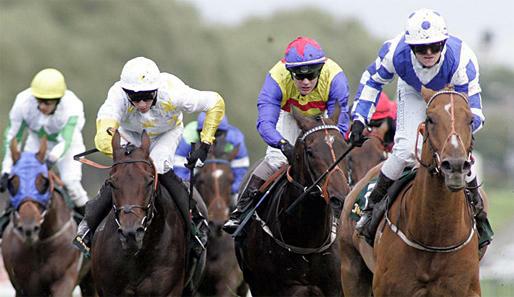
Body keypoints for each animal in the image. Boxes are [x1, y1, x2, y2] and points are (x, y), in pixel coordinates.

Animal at [1, 139, 95, 296]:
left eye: (44, 182)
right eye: (12, 183)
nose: (29, 227)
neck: (39, 244)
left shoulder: (64, 281)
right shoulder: (22, 286)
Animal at [236, 107, 348, 294]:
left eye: (345, 147)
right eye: (310, 152)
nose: (340, 197)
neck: (307, 240)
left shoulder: (335, 286)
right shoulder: (286, 288)